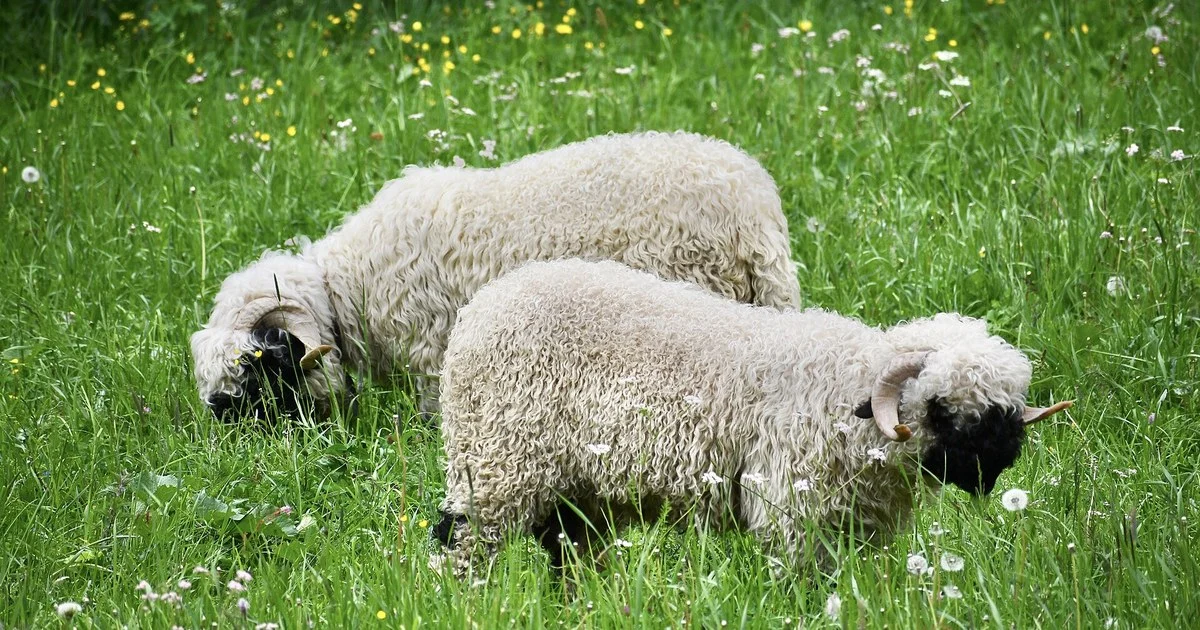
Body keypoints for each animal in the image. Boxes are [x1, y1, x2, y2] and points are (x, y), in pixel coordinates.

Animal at [432, 259, 1071, 575]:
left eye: (1005, 411)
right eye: (941, 407)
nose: (994, 465)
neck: (848, 394)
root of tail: (486, 303)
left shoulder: (859, 527)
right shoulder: (792, 511)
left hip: (574, 484)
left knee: (567, 550)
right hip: (496, 461)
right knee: (462, 542)